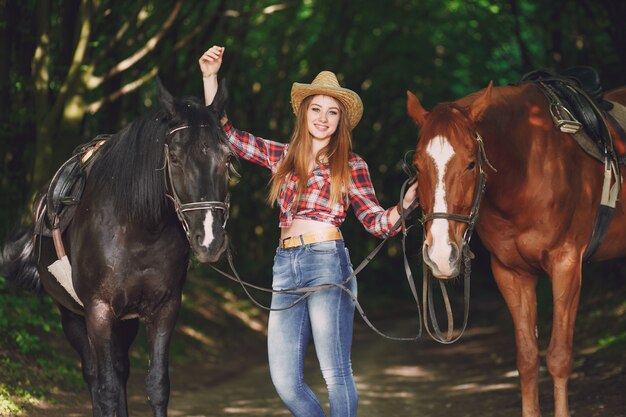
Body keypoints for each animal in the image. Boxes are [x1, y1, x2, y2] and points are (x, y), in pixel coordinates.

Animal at [1, 80, 233, 416]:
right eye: (175, 157)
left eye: (227, 158)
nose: (209, 240)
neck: (140, 231)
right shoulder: (99, 311)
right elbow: (106, 387)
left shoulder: (165, 309)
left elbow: (157, 386)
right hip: (72, 315)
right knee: (94, 374)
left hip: (126, 321)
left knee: (121, 368)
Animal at [404, 79, 624, 416]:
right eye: (417, 166)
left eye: (471, 164)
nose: (441, 254)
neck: (529, 169)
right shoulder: (511, 274)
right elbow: (527, 359)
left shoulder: (566, 265)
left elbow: (559, 357)